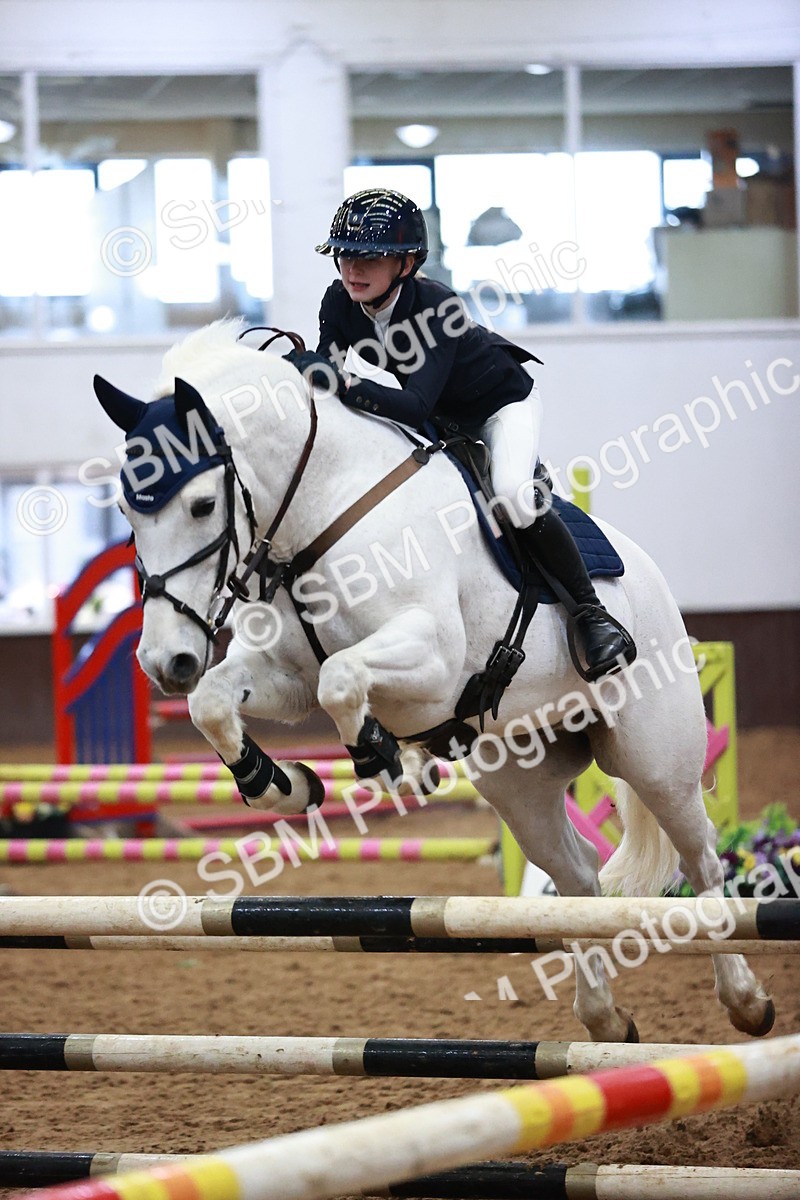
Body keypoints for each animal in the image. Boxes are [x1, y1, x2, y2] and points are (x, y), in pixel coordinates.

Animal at [93, 317, 774, 1044]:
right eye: (127, 512)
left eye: (199, 506)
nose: (165, 661)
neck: (325, 509)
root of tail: (651, 581)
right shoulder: (284, 677)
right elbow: (215, 703)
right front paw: (279, 784)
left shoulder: (435, 662)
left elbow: (342, 679)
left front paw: (383, 759)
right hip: (519, 781)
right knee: (577, 878)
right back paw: (605, 1018)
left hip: (654, 758)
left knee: (701, 860)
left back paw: (745, 1000)